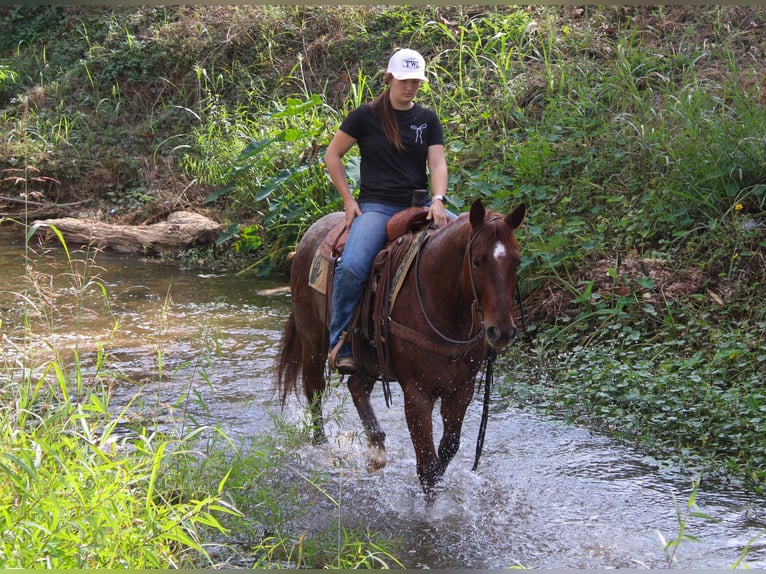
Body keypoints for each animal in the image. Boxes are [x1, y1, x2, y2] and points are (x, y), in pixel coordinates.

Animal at [274, 198, 525, 498]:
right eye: (477, 261)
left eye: (517, 261)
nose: (503, 331)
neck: (441, 301)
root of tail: (311, 231)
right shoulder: (417, 394)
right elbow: (427, 465)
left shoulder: (461, 388)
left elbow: (447, 451)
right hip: (313, 341)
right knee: (314, 389)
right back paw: (322, 447)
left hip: (368, 356)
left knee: (357, 387)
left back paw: (377, 449)